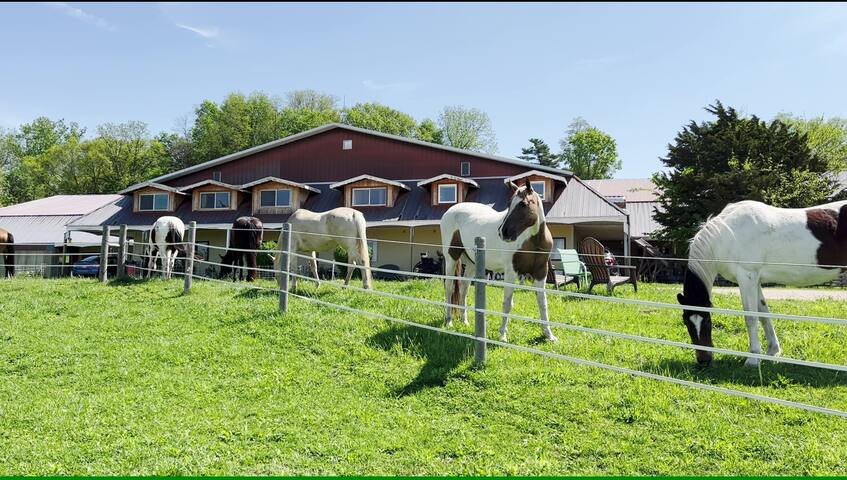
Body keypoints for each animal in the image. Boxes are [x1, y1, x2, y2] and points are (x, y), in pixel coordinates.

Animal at [440, 180, 560, 342]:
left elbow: (543, 303)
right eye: (509, 204)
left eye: (523, 204)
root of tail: (451, 211)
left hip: (472, 264)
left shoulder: (541, 273)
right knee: (449, 287)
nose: (503, 232)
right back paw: (449, 321)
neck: (532, 240)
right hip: (451, 258)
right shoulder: (511, 272)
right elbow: (507, 303)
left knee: (464, 289)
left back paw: (464, 321)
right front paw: (502, 335)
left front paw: (549, 335)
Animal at [680, 199, 847, 368]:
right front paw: (773, 351)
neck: (727, 234)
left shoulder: (747, 277)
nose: (703, 360)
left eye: (707, 321)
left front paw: (753, 358)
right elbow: (763, 314)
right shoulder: (756, 280)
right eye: (686, 322)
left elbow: (751, 318)